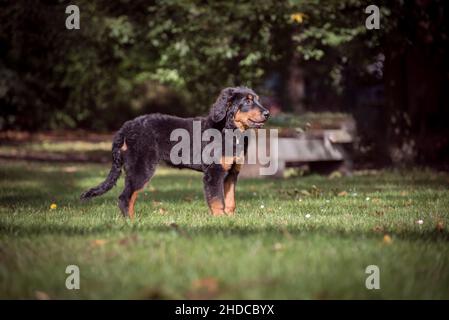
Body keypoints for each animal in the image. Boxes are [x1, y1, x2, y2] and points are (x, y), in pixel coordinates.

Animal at [79, 86, 270, 219]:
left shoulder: (231, 173)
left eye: (257, 100)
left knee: (130, 196)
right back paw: (131, 222)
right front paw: (220, 219)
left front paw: (230, 218)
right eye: (247, 101)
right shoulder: (214, 172)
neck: (230, 130)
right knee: (125, 197)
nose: (268, 113)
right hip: (141, 167)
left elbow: (230, 200)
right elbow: (217, 199)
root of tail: (126, 127)